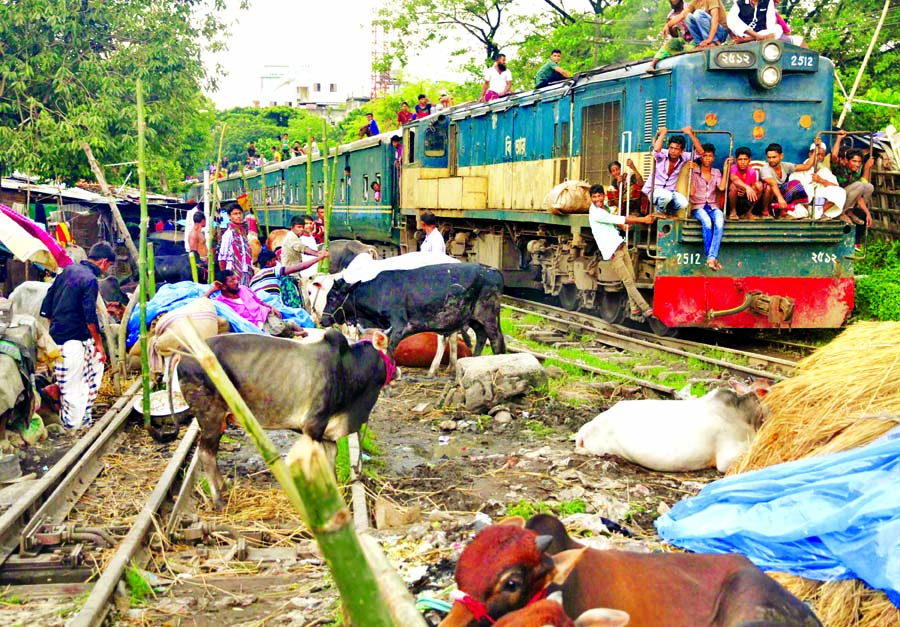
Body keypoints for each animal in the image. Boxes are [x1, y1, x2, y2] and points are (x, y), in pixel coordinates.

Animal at [176, 328, 394, 510]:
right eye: (391, 353)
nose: (397, 370)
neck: (348, 368)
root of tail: (182, 357)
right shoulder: (313, 426)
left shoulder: (327, 433)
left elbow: (330, 458)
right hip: (210, 417)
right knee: (206, 454)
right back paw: (220, 502)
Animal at [316, 262, 502, 358]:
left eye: (331, 297)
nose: (323, 320)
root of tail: (492, 270)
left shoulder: (399, 326)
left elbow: (390, 351)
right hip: (474, 319)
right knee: (481, 337)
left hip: (489, 316)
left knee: (496, 340)